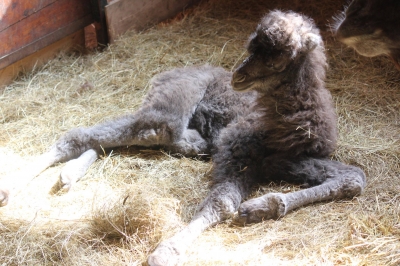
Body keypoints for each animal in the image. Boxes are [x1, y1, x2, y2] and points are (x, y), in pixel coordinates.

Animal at [0, 9, 366, 264]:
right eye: (253, 46)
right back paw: (11, 188)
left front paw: (263, 207)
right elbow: (222, 204)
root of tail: (171, 71)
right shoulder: (237, 151)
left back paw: (69, 174)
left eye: (276, 54)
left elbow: (354, 178)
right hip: (173, 104)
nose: (239, 74)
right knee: (101, 133)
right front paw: (167, 251)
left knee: (122, 137)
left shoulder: (285, 160)